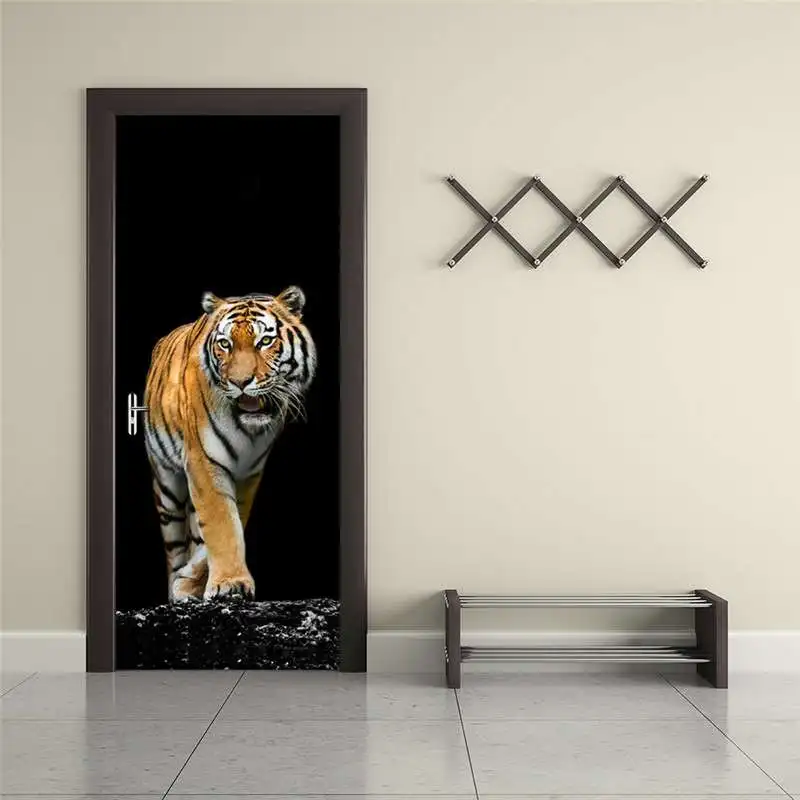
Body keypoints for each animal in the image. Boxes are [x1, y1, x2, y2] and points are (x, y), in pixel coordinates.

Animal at [143, 287, 316, 602]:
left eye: (265, 341)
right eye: (225, 344)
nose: (240, 382)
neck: (249, 431)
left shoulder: (249, 472)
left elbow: (230, 523)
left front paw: (198, 581)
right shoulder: (203, 460)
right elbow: (223, 523)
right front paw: (229, 583)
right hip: (166, 487)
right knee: (174, 547)